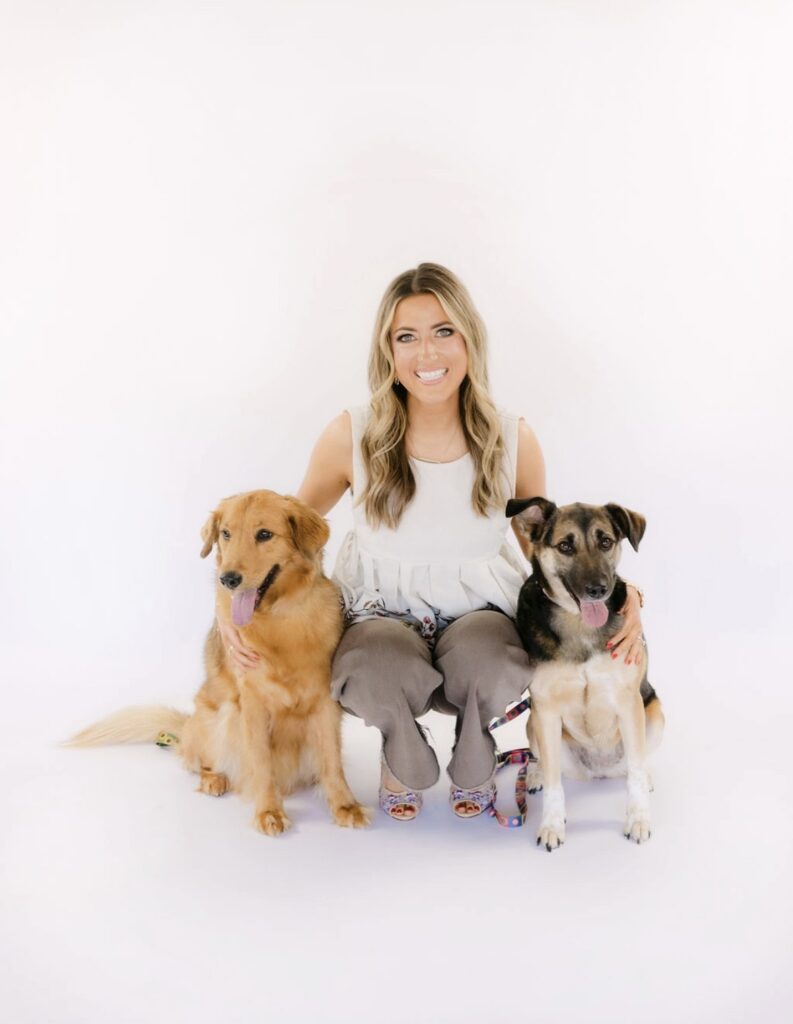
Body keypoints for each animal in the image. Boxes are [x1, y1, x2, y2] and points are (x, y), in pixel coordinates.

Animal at [69, 489, 370, 836]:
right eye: (225, 534)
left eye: (264, 534)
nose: (228, 579)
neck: (280, 616)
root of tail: (185, 727)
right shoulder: (251, 704)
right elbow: (261, 762)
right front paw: (269, 811)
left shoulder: (325, 701)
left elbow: (332, 760)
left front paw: (345, 805)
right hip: (219, 717)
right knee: (199, 760)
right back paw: (214, 778)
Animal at [506, 497, 664, 850]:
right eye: (565, 546)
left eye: (605, 541)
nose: (598, 589)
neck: (579, 625)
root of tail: (599, 773)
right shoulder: (545, 710)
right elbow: (554, 785)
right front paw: (552, 825)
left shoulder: (629, 702)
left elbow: (635, 772)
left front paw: (639, 819)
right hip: (532, 722)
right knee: (540, 759)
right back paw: (534, 774)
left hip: (654, 713)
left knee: (637, 761)